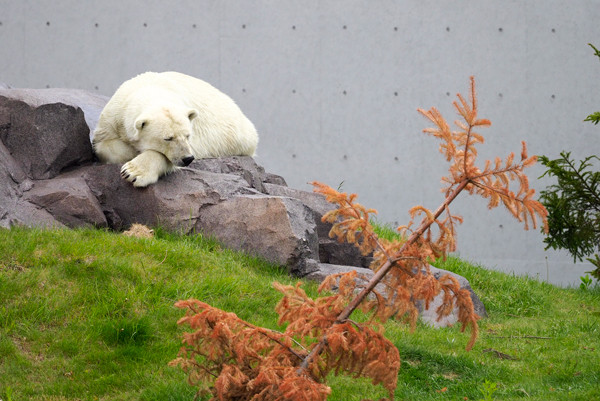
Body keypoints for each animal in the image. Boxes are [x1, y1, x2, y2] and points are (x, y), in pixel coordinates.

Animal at [91, 71, 258, 187]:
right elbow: (104, 144)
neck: (150, 88)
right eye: (168, 138)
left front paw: (133, 172)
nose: (188, 158)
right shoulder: (112, 118)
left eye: (188, 135)